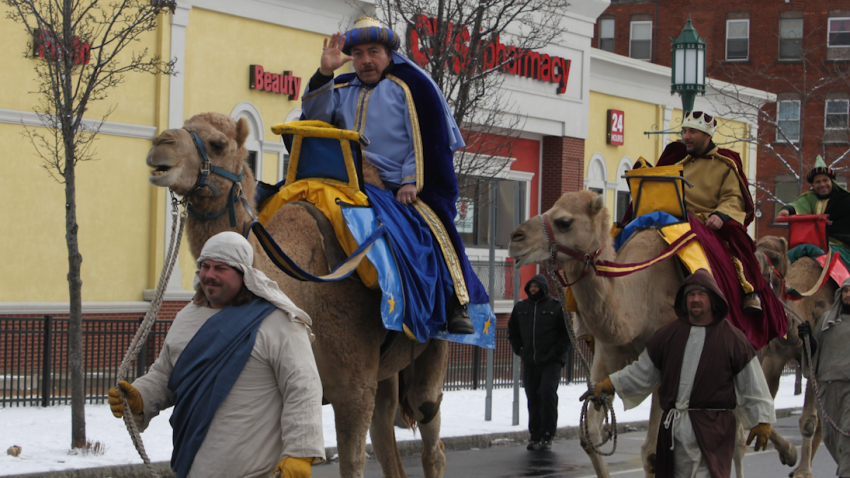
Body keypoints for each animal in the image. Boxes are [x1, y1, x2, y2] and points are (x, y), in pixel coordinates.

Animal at [144, 113, 450, 478]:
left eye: (218, 143)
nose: (161, 145)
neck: (302, 289)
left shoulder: (353, 389)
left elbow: (352, 463)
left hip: (434, 343)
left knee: (428, 423)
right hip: (386, 371)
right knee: (386, 430)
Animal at [752, 236, 832, 478]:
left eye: (776, 257)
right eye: (753, 248)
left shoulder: (815, 363)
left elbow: (808, 422)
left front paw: (804, 470)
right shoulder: (774, 357)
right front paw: (790, 455)